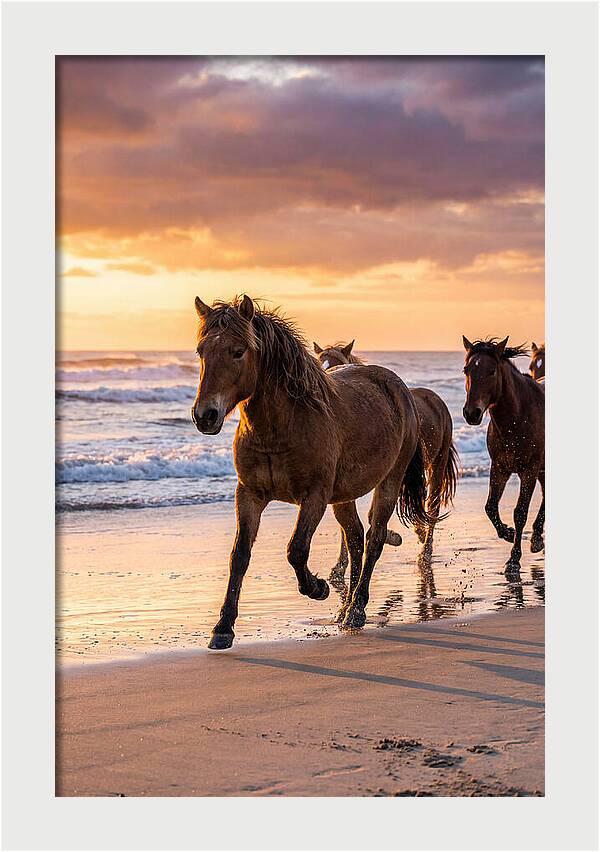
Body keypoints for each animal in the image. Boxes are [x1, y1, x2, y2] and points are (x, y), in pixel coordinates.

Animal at [192, 295, 432, 647]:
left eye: (238, 351)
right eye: (201, 351)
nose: (205, 415)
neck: (282, 426)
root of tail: (399, 388)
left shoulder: (314, 497)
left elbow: (296, 550)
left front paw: (318, 588)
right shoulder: (249, 494)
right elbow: (240, 556)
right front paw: (223, 628)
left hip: (389, 482)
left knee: (373, 539)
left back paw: (357, 609)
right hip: (343, 497)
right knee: (355, 539)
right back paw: (345, 611)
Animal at [314, 340, 459, 565]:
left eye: (337, 363)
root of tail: (435, 399)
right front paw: (340, 565)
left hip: (437, 464)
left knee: (432, 507)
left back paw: (425, 550)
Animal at [462, 336, 545, 573]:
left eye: (492, 371)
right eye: (466, 370)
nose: (471, 413)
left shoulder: (529, 470)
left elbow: (520, 512)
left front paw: (514, 559)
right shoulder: (499, 468)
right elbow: (490, 507)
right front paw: (507, 533)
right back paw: (537, 538)